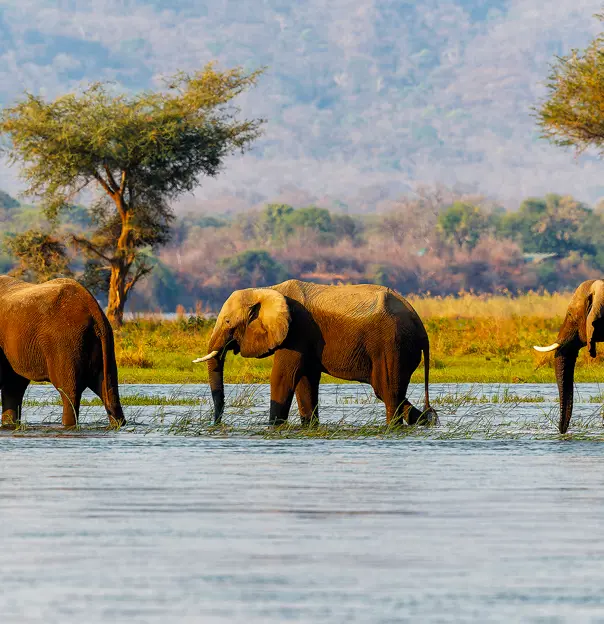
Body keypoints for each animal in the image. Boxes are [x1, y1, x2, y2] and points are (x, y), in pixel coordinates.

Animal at [0, 276, 125, 426]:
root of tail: (95, 311)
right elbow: (13, 383)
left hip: (65, 343)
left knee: (69, 392)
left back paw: (67, 425)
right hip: (104, 344)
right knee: (108, 389)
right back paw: (118, 423)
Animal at [193, 280, 434, 426]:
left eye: (227, 322)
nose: (217, 423)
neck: (268, 290)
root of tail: (420, 325)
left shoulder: (297, 331)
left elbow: (283, 377)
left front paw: (273, 428)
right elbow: (305, 381)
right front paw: (309, 427)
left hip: (392, 346)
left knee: (388, 392)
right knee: (389, 392)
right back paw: (429, 421)